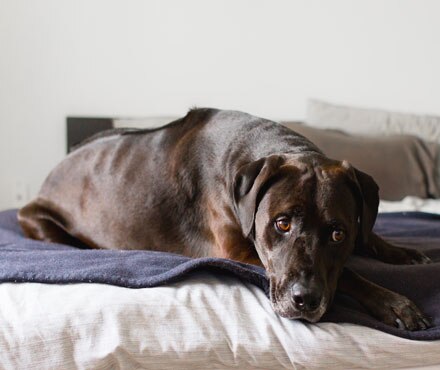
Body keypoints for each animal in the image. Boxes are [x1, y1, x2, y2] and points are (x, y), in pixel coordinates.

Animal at [18, 107, 432, 330]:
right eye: (281, 224)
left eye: (337, 234)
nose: (305, 300)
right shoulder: (238, 250)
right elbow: (347, 273)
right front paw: (394, 302)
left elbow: (365, 236)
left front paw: (399, 251)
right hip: (35, 217)